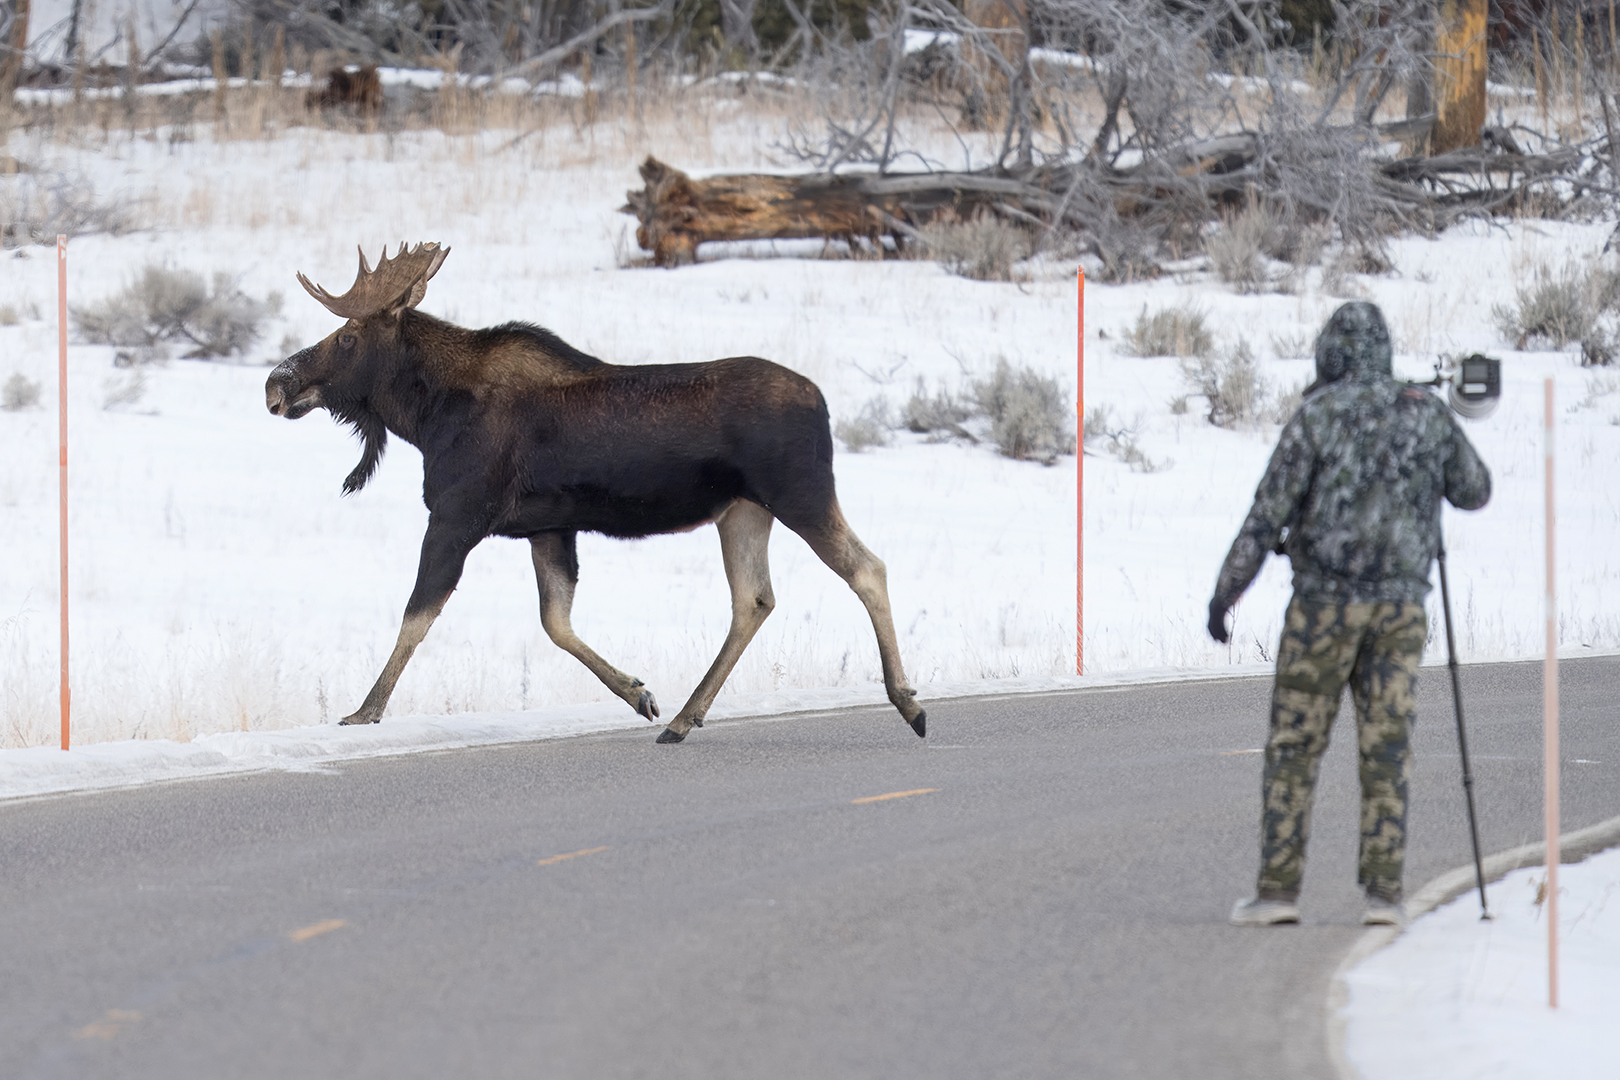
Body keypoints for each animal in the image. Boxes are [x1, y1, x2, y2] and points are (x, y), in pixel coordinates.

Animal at [265, 243, 927, 744]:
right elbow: (555, 622)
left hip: (799, 494)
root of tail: (823, 402)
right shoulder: (548, 527)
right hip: (742, 511)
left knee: (867, 567)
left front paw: (364, 711)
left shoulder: (457, 517)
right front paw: (639, 693)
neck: (426, 416)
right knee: (754, 599)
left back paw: (909, 702)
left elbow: (416, 616)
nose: (276, 382)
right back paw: (683, 718)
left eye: (347, 335)